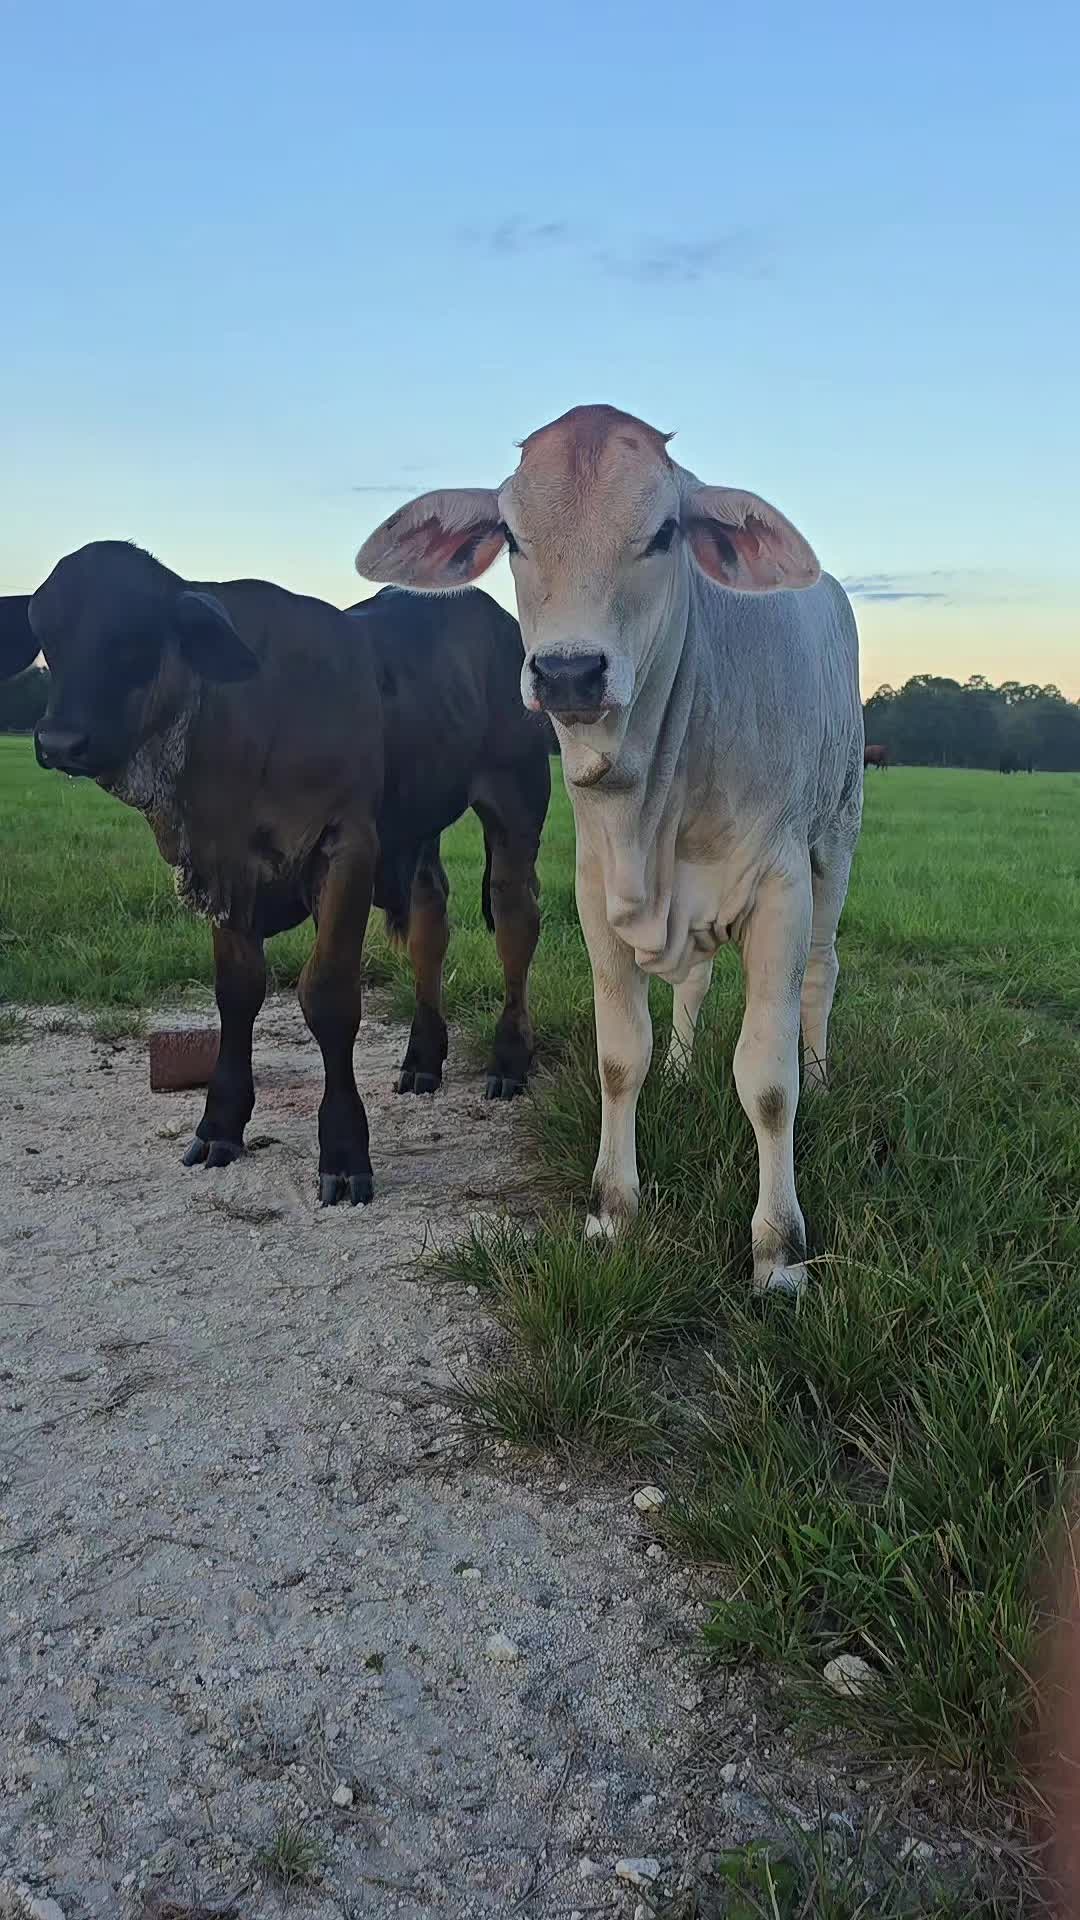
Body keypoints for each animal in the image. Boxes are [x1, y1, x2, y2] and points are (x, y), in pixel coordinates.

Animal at [0, 546, 549, 1203]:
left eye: (135, 634)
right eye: (47, 637)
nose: (59, 741)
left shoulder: (347, 846)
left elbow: (329, 995)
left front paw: (344, 1150)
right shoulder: (226, 870)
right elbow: (237, 992)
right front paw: (219, 1126)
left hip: (516, 798)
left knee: (515, 921)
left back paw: (509, 1061)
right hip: (420, 824)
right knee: (429, 924)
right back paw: (422, 1058)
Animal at [356, 404, 863, 1294]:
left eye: (664, 532)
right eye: (512, 535)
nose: (568, 672)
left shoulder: (781, 891)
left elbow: (769, 1081)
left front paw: (779, 1249)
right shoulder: (597, 897)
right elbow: (620, 1057)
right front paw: (612, 1212)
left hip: (837, 837)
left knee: (820, 975)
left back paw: (826, 1079)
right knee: (693, 984)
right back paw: (686, 1070)